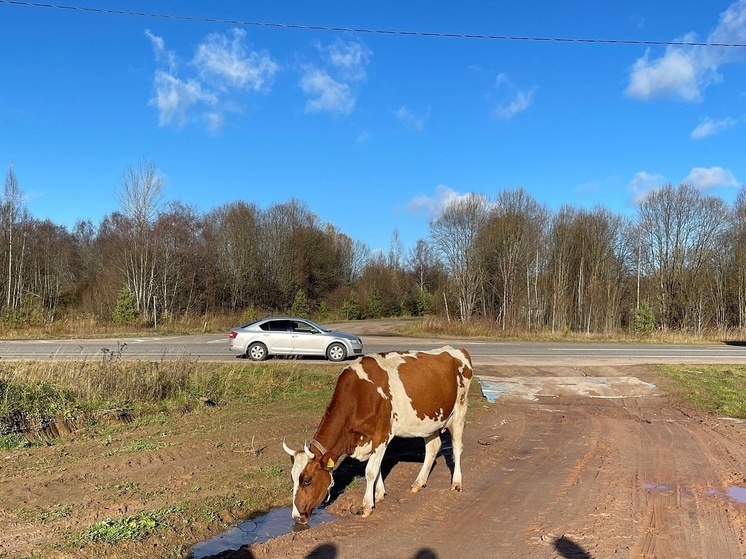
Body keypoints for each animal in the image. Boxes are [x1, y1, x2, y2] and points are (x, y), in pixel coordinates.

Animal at [280, 346, 470, 524]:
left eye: (307, 480)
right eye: (292, 478)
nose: (296, 516)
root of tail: (455, 350)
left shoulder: (381, 435)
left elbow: (370, 471)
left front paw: (366, 506)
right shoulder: (370, 440)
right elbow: (377, 468)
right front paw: (378, 494)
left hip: (459, 411)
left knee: (457, 447)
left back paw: (456, 483)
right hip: (429, 421)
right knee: (432, 448)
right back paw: (418, 483)